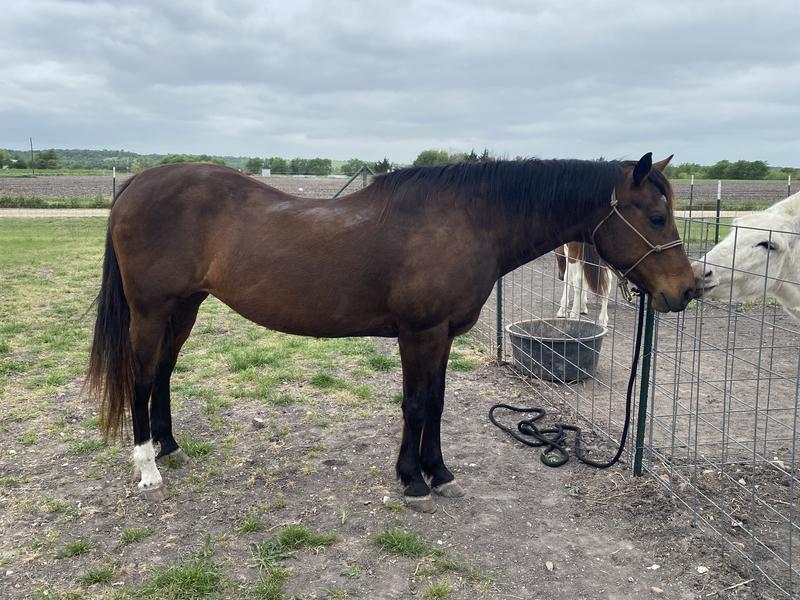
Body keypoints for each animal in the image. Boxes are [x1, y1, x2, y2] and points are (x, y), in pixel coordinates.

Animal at [86, 153, 697, 513]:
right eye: (655, 216)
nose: (687, 290)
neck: (465, 220)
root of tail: (138, 183)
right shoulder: (419, 332)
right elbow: (416, 405)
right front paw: (413, 480)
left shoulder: (445, 334)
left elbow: (438, 402)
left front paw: (438, 472)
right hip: (152, 311)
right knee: (142, 377)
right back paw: (146, 466)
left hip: (184, 308)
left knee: (163, 372)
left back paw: (167, 445)